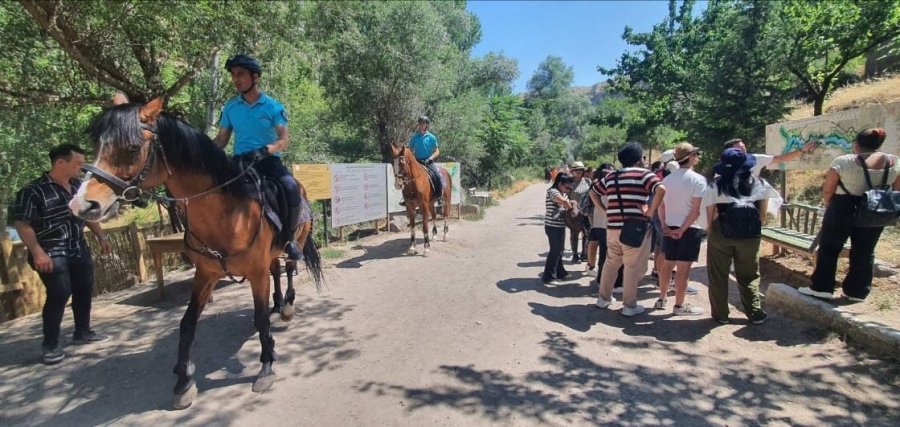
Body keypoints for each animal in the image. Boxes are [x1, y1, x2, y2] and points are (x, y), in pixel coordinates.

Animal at [71, 94, 324, 412]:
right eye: (98, 146)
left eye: (132, 148)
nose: (82, 204)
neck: (229, 212)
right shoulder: (206, 274)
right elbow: (187, 324)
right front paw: (183, 382)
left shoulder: (254, 273)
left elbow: (260, 320)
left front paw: (266, 367)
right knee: (276, 271)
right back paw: (277, 304)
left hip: (296, 241)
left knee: (289, 267)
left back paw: (287, 306)